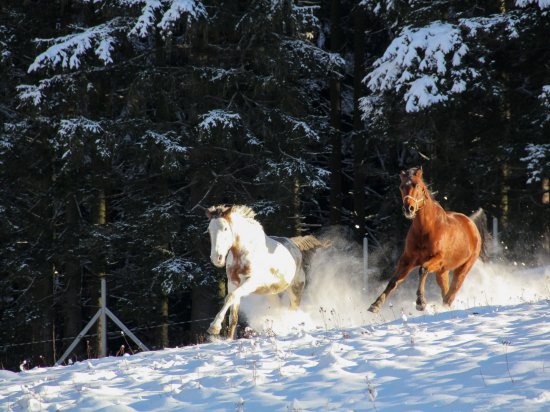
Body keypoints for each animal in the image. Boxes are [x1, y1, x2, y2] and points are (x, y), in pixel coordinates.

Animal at [206, 205, 328, 338]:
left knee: (293, 312)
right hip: (272, 293)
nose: (216, 258)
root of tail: (295, 247)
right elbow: (233, 316)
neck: (244, 252)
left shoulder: (251, 282)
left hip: (295, 290)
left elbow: (230, 297)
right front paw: (229, 339)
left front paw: (214, 327)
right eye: (209, 230)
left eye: (225, 228)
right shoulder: (232, 283)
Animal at [368, 167, 490, 312]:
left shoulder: (437, 258)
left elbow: (422, 269)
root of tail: (471, 224)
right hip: (442, 273)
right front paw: (375, 304)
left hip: (463, 268)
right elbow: (394, 281)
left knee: (451, 293)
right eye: (402, 186)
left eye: (417, 185)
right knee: (446, 292)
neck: (425, 229)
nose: (408, 208)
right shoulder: (407, 260)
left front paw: (420, 302)